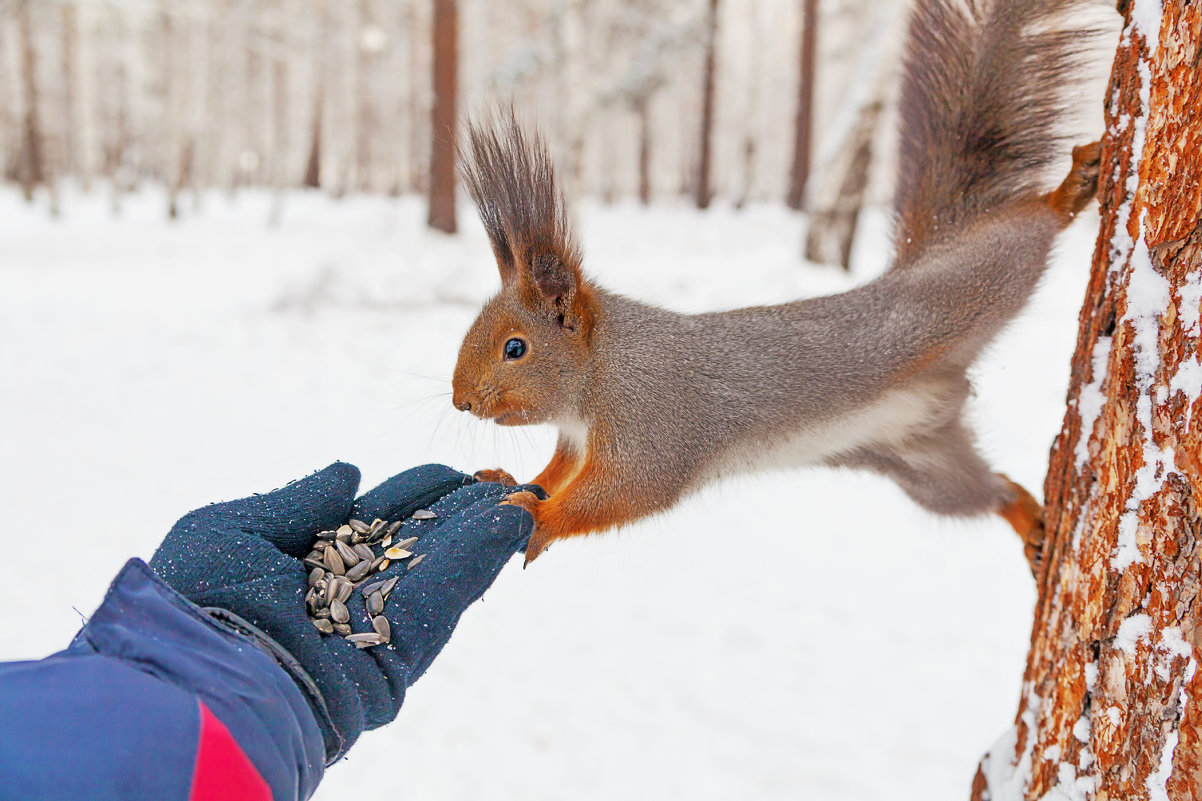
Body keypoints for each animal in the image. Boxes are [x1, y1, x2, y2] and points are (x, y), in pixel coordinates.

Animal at [449, 0, 1101, 567]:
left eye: (515, 348)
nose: (462, 403)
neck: (600, 373)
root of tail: (930, 255)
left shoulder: (654, 424)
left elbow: (629, 490)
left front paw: (542, 517)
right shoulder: (576, 439)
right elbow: (557, 473)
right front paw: (516, 479)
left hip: (973, 283)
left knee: (1026, 237)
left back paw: (1070, 190)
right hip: (924, 468)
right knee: (990, 490)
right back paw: (1027, 518)